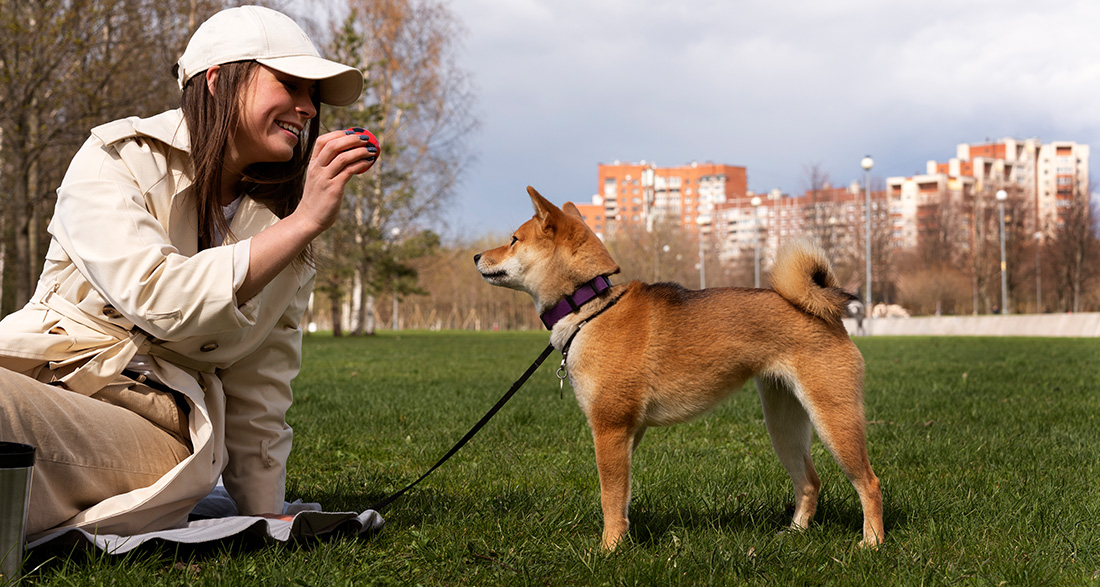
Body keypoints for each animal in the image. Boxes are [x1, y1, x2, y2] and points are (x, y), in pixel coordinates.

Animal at [473, 187, 884, 551]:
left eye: (513, 240)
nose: (476, 255)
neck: (589, 305)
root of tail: (824, 312)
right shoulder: (628, 433)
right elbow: (622, 498)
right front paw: (621, 541)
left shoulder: (610, 429)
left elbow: (609, 498)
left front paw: (607, 550)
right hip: (784, 425)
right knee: (810, 481)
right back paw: (795, 533)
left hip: (834, 419)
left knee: (870, 483)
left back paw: (872, 543)